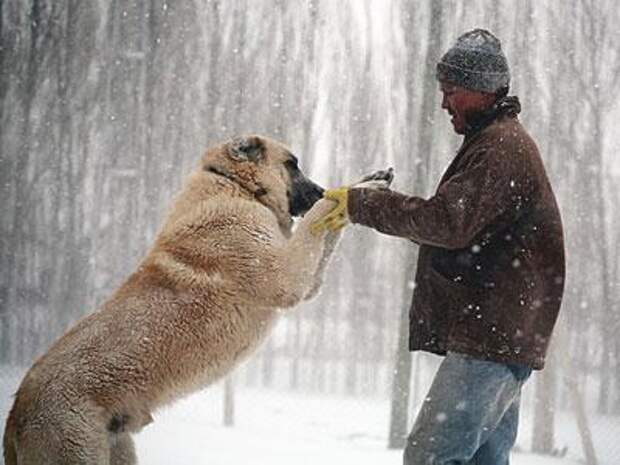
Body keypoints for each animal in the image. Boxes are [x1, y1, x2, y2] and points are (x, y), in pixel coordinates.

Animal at [3, 135, 344, 464]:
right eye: (291, 165)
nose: (320, 189)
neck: (237, 187)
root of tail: (15, 413)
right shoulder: (285, 277)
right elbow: (313, 226)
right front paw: (338, 199)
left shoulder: (303, 280)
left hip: (117, 450)